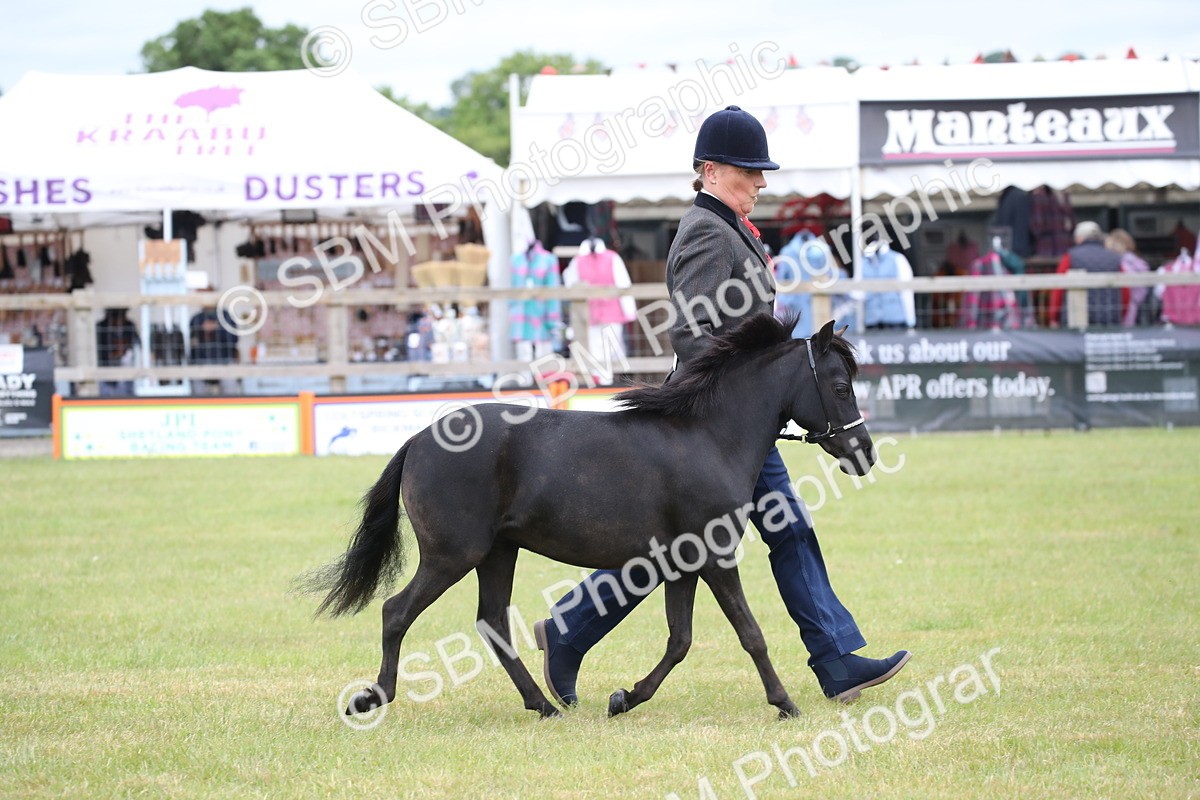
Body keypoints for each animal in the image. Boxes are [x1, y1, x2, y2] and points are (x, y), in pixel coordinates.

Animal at [304, 313, 874, 720]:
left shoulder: (682, 562)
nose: (864, 452)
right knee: (396, 611)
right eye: (840, 386)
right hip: (453, 554)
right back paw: (374, 697)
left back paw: (544, 704)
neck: (709, 436)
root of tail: (420, 439)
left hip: (498, 552)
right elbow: (749, 632)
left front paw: (625, 698)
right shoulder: (713, 556)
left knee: (492, 623)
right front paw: (785, 704)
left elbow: (680, 639)